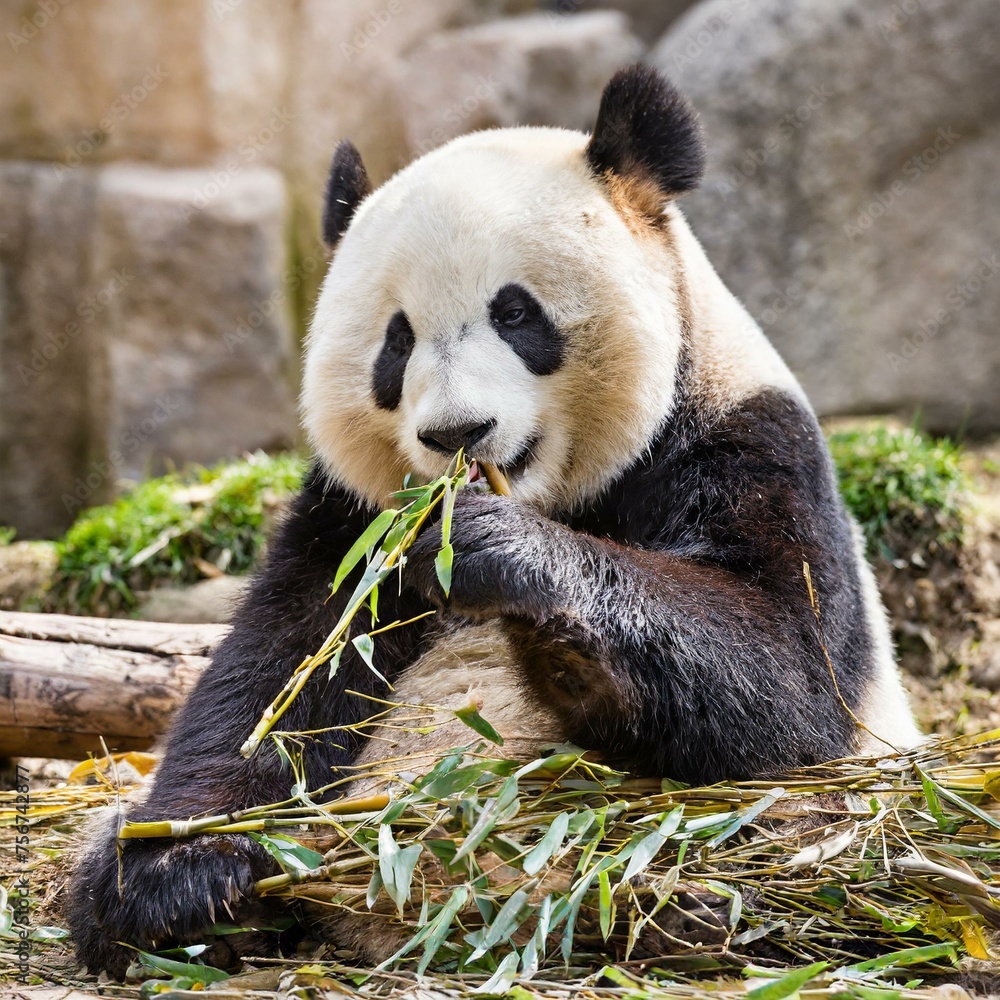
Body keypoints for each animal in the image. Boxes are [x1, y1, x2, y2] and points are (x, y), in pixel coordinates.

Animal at [68, 65, 920, 977]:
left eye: (515, 313)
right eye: (396, 341)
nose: (457, 434)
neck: (550, 494)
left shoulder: (748, 443)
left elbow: (788, 677)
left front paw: (500, 556)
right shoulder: (352, 518)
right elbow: (278, 672)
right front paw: (174, 879)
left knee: (775, 852)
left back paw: (676, 909)